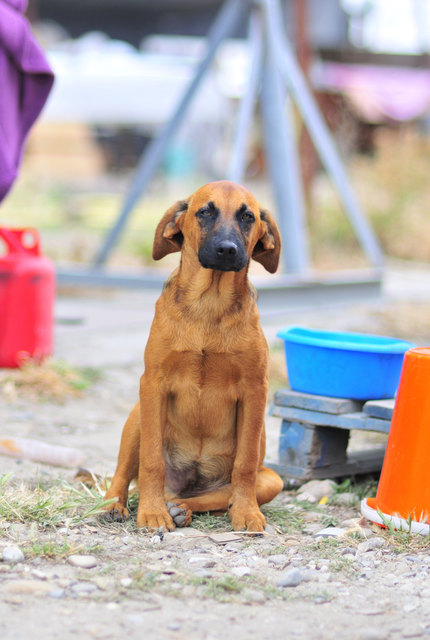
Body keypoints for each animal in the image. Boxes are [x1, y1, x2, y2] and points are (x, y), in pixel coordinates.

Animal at [104, 180, 284, 528]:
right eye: (204, 212)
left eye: (248, 217)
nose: (227, 250)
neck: (209, 305)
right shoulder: (153, 383)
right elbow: (151, 461)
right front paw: (151, 512)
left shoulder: (256, 389)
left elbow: (244, 464)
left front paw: (246, 512)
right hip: (138, 415)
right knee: (123, 474)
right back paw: (117, 505)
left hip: (272, 480)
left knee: (214, 497)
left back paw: (180, 509)